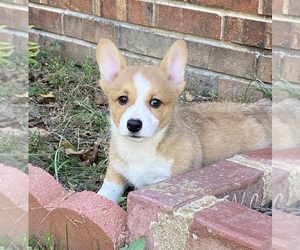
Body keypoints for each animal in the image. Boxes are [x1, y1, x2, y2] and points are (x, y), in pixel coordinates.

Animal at [96, 39, 272, 203]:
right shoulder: (115, 173)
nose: (133, 125)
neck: (140, 148)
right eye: (122, 99)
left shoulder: (164, 179)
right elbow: (103, 195)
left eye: (155, 102)